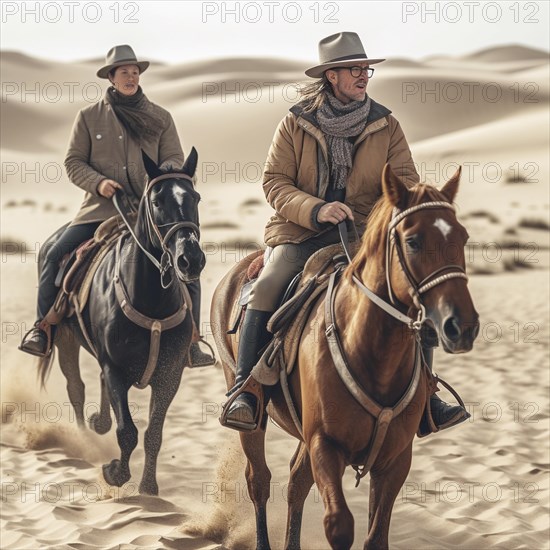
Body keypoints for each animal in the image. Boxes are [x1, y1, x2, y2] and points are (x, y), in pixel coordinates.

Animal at [37, 150, 205, 496]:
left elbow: (154, 433)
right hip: (65, 341)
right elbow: (127, 430)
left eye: (195, 197)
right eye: (157, 201)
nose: (190, 260)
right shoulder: (115, 368)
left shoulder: (169, 375)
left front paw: (148, 486)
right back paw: (84, 442)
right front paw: (115, 472)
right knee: (76, 388)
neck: (152, 299)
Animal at [213, 167, 480, 550]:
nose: (462, 326)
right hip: (253, 418)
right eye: (413, 241)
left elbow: (375, 536)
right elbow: (339, 525)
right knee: (259, 480)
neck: (373, 356)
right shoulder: (325, 446)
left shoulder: (395, 459)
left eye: (462, 236)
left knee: (296, 482)